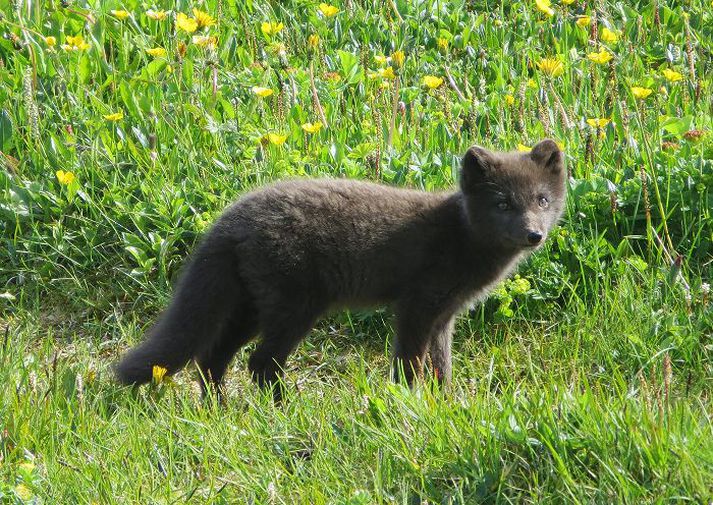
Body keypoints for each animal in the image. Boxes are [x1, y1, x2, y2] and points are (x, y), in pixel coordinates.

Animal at [117, 139, 568, 398]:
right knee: (260, 364)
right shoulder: (417, 306)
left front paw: (446, 405)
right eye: (503, 203)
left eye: (542, 200)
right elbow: (409, 363)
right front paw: (410, 404)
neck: (461, 233)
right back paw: (284, 411)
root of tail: (230, 218)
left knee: (212, 357)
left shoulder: (444, 315)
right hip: (293, 308)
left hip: (250, 306)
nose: (534, 234)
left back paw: (220, 411)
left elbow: (441, 366)